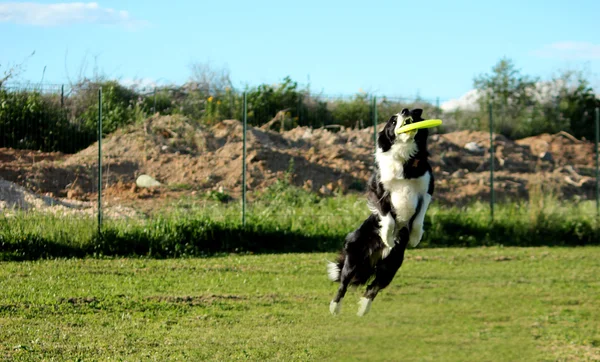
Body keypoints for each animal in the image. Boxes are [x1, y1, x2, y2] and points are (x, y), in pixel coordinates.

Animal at [326, 108, 434, 316]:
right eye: (392, 121)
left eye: (413, 113)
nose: (405, 111)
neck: (405, 156)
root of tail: (376, 257)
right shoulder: (378, 189)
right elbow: (388, 218)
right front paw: (388, 237)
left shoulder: (426, 190)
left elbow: (419, 219)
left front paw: (415, 237)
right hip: (354, 257)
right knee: (343, 283)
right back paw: (335, 308)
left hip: (391, 265)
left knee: (373, 287)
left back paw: (363, 310)